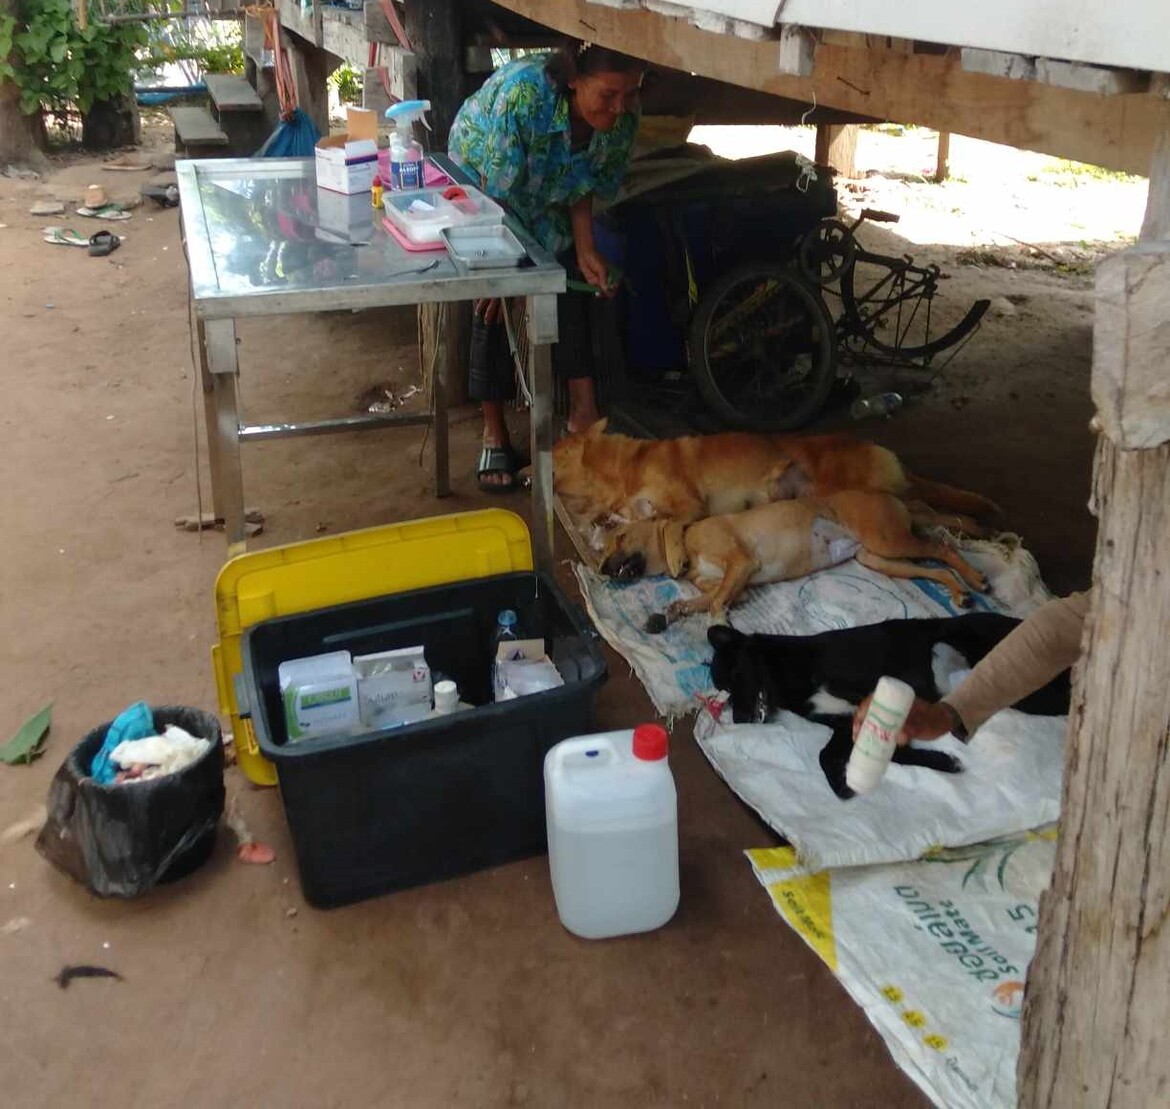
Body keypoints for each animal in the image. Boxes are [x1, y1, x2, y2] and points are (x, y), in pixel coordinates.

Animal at [594, 488, 987, 627]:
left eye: (621, 538)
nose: (600, 569)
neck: (687, 540)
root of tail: (893, 497)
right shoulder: (735, 583)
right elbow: (703, 599)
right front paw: (675, 611)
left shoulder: (741, 564)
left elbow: (717, 603)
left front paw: (720, 623)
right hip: (878, 558)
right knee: (934, 569)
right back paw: (960, 593)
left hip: (889, 541)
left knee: (943, 548)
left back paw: (976, 578)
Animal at [702, 612, 1071, 795]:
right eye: (723, 693)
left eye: (735, 676)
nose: (740, 718)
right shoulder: (845, 724)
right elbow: (828, 755)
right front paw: (842, 785)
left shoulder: (904, 690)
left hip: (965, 648)